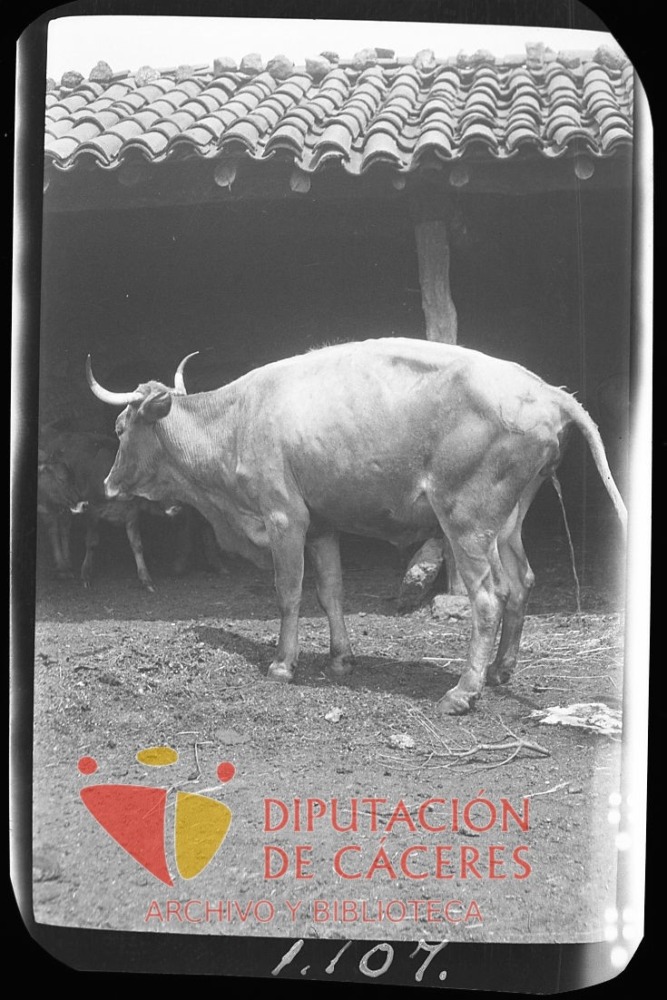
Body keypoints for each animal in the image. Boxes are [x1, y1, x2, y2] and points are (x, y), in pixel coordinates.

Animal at [86, 338, 627, 715]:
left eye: (119, 429)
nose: (107, 486)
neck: (235, 421)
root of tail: (546, 390)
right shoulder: (322, 525)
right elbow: (331, 593)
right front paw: (341, 659)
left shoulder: (285, 518)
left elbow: (288, 593)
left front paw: (283, 664)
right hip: (507, 522)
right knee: (521, 583)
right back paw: (499, 671)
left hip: (465, 520)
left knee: (489, 597)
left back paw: (462, 691)